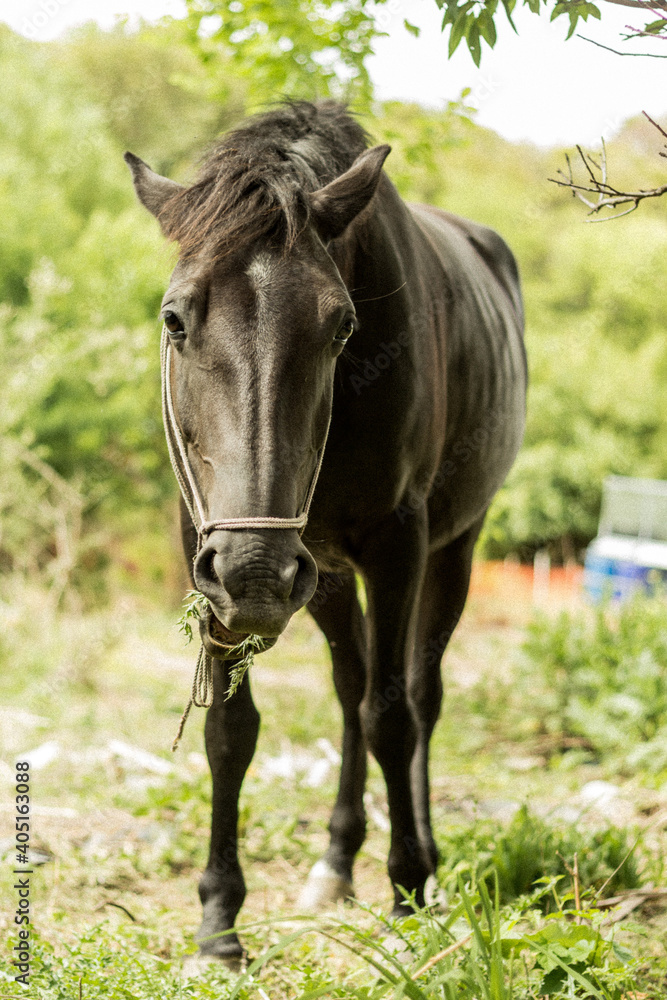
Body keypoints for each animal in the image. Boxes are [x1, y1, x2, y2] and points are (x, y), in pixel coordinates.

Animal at [125, 99, 526, 963]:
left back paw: (425, 861)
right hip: (321, 578)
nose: (255, 571)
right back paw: (336, 860)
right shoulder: (207, 551)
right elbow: (231, 729)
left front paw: (407, 894)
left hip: (450, 551)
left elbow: (392, 716)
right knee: (349, 689)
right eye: (174, 319)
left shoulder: (397, 543)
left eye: (342, 326)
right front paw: (219, 917)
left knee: (413, 695)